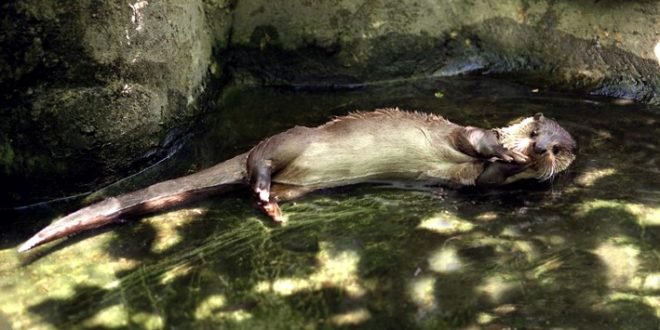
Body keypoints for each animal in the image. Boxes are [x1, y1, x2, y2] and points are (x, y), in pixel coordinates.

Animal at [18, 109, 576, 253]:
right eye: (541, 135)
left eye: (563, 147)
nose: (545, 152)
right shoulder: (466, 135)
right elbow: (478, 140)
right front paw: (507, 150)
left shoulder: (475, 180)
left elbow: (483, 182)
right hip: (290, 143)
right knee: (258, 165)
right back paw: (265, 190)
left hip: (298, 179)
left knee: (252, 185)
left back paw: (270, 206)